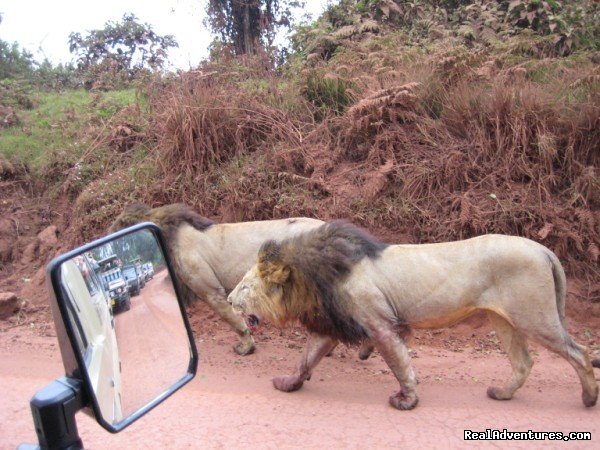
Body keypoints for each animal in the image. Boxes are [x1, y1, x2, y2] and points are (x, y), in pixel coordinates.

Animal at [227, 221, 596, 412]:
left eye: (245, 286)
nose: (229, 299)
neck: (313, 279)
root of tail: (544, 250)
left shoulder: (378, 323)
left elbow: (399, 362)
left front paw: (407, 400)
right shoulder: (333, 324)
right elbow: (306, 359)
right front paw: (289, 383)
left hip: (535, 316)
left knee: (580, 353)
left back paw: (589, 398)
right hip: (504, 321)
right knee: (523, 362)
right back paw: (502, 394)